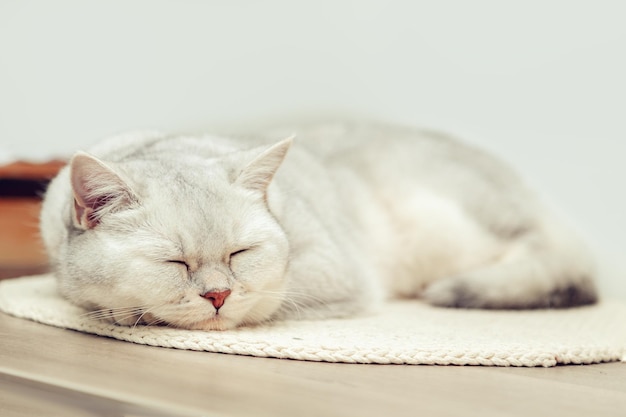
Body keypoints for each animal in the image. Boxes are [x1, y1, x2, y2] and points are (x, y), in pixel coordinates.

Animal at [37, 122, 596, 330]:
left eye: (240, 254)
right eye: (173, 261)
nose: (217, 295)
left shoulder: (332, 270)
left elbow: (267, 299)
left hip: (454, 226)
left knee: (563, 267)